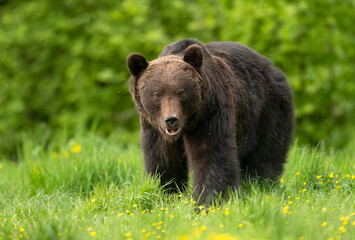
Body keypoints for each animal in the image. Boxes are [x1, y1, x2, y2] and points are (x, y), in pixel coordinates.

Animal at [126, 39, 294, 204]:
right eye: (157, 94)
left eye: (181, 92)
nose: (171, 119)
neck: (188, 124)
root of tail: (274, 69)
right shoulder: (155, 128)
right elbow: (163, 160)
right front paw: (168, 194)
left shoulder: (210, 115)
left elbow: (211, 156)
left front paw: (208, 201)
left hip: (267, 112)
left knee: (266, 155)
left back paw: (261, 186)